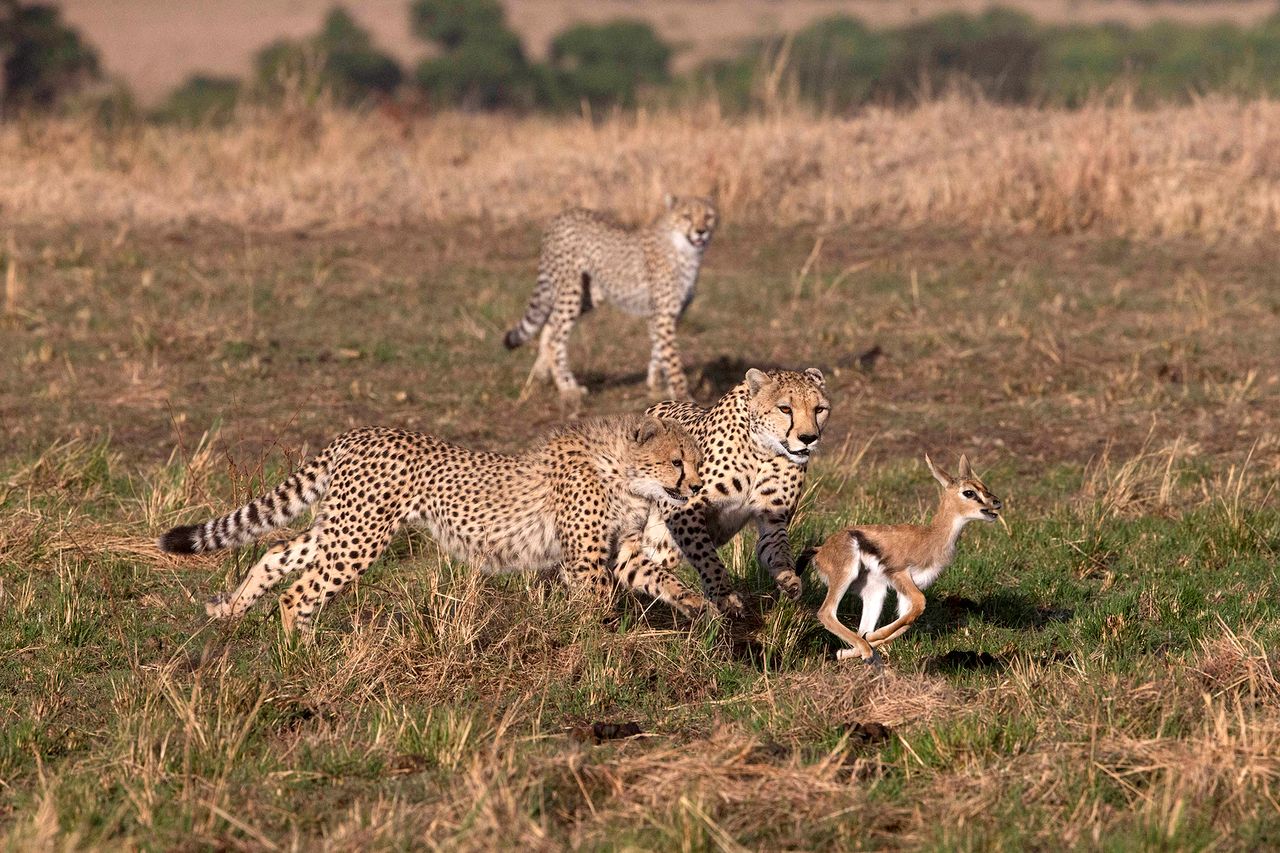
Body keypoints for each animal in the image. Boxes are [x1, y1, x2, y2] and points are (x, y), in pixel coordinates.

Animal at [157, 412, 711, 630]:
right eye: (677, 462)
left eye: (697, 460)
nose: (694, 487)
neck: (626, 474)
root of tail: (357, 433)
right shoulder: (587, 559)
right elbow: (597, 605)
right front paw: (599, 649)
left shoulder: (620, 551)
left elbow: (661, 578)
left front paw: (700, 606)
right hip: (359, 537)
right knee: (300, 591)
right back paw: (302, 653)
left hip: (341, 528)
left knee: (275, 554)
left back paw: (230, 611)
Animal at [501, 193, 721, 404]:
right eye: (687, 216)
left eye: (708, 216)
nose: (701, 231)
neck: (684, 249)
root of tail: (561, 215)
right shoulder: (664, 315)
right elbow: (671, 357)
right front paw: (683, 396)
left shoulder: (662, 315)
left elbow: (658, 352)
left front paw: (655, 388)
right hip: (571, 290)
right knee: (556, 339)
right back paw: (568, 388)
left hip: (589, 295)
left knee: (550, 326)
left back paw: (542, 374)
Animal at [609, 366, 829, 612]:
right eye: (785, 409)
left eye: (819, 409)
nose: (808, 438)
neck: (764, 450)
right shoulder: (686, 509)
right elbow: (706, 556)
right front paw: (724, 594)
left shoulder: (773, 518)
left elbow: (778, 548)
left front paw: (789, 580)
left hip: (663, 544)